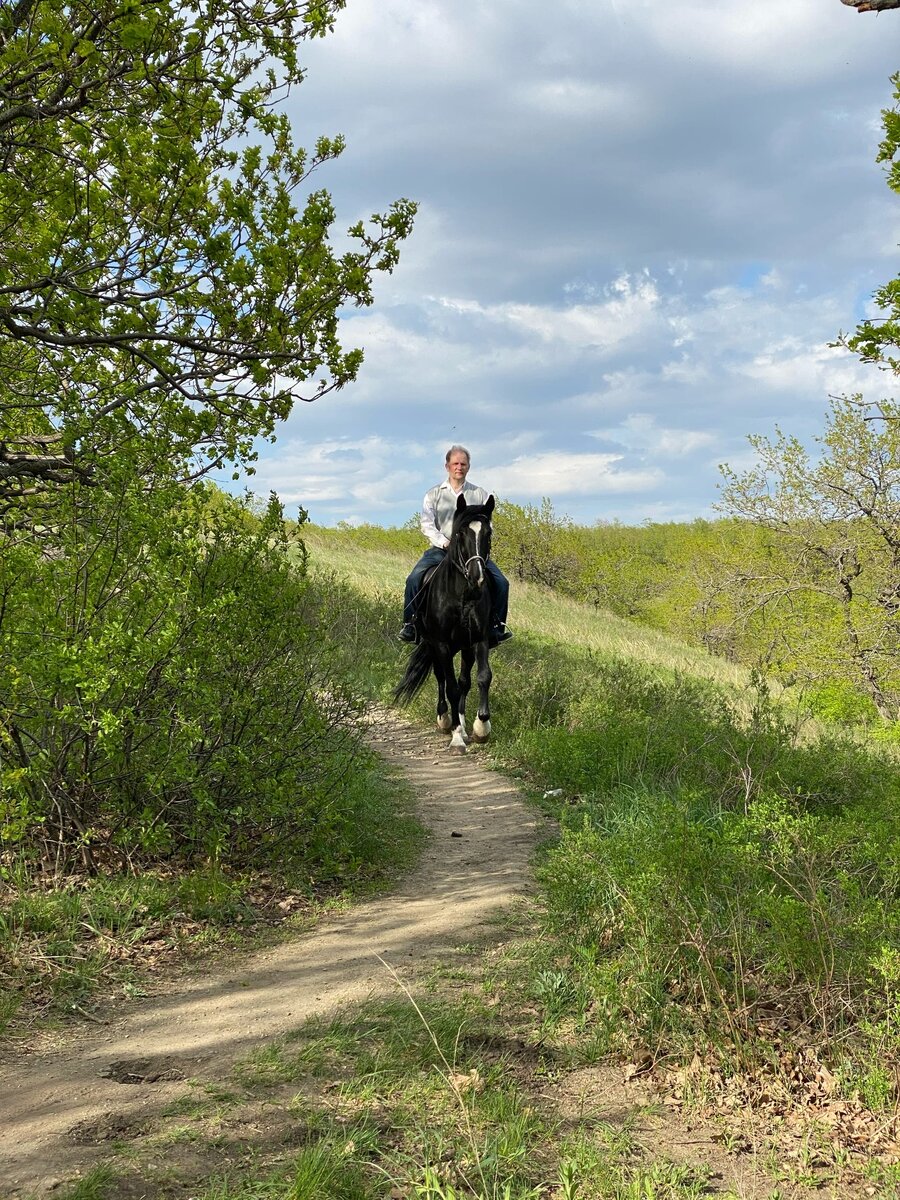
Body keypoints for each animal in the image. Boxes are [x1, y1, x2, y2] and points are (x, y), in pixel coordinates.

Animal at [393, 492, 494, 753]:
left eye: (488, 533)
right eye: (460, 533)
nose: (477, 577)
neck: (463, 595)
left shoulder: (479, 640)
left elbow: (480, 678)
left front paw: (480, 728)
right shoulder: (441, 644)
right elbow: (450, 686)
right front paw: (456, 736)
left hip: (463, 647)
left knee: (463, 681)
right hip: (435, 645)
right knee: (441, 678)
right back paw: (444, 719)